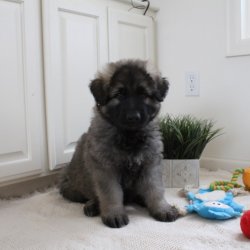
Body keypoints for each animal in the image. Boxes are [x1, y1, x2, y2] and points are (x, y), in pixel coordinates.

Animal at [59, 59, 181, 228]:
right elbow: (111, 193)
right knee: (92, 196)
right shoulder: (105, 169)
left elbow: (155, 189)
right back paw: (93, 205)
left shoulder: (150, 164)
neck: (129, 135)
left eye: (143, 94)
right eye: (119, 95)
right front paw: (114, 214)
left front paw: (162, 208)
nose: (133, 117)